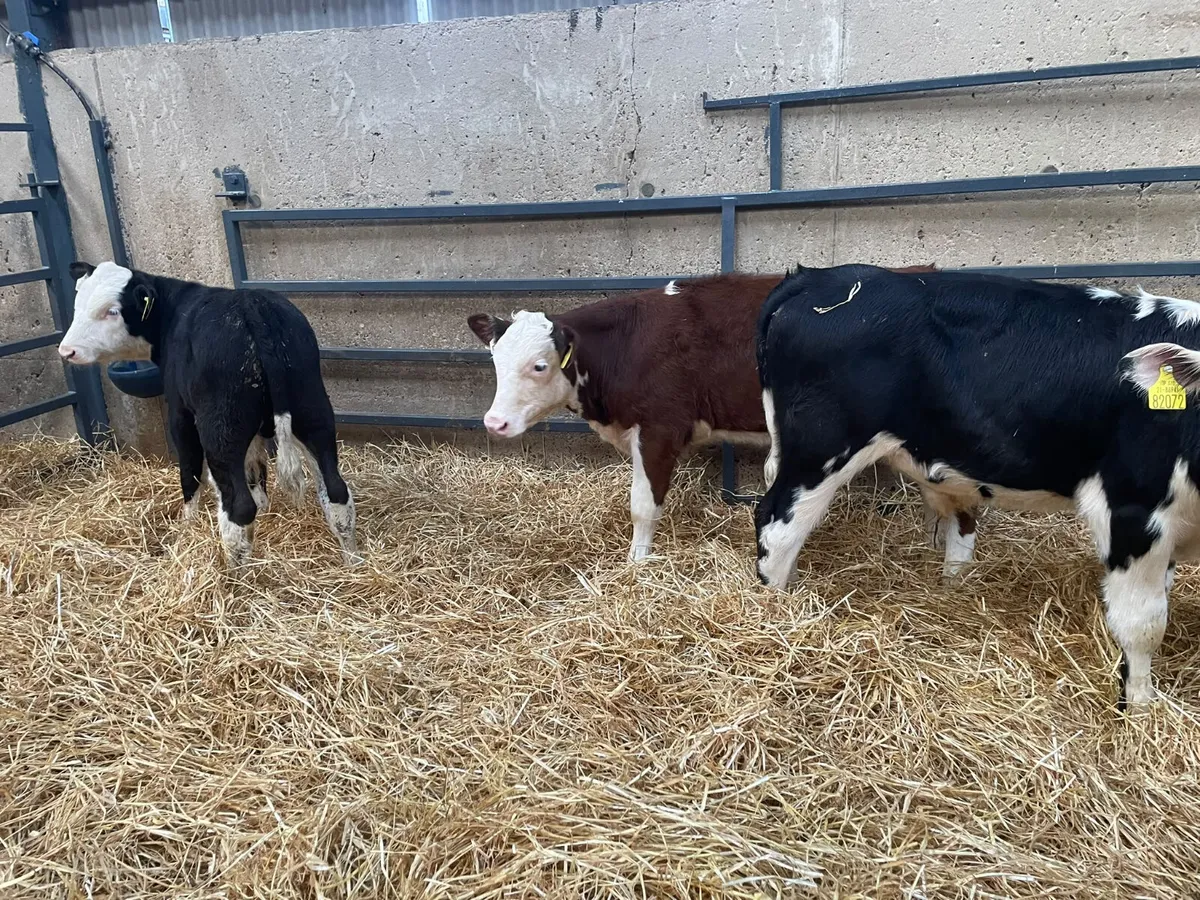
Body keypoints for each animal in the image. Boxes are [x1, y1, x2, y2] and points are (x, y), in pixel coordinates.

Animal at [57, 261, 359, 569]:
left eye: (113, 311)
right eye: (78, 302)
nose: (67, 350)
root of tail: (253, 307)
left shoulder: (181, 415)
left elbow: (190, 473)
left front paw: (187, 527)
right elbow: (255, 469)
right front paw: (265, 509)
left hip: (221, 430)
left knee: (238, 508)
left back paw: (234, 575)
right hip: (313, 414)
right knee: (336, 491)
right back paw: (352, 561)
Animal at [466, 267, 960, 565]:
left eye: (540, 365)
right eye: (494, 360)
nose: (494, 423)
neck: (625, 345)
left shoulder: (660, 428)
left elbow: (643, 506)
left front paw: (635, 564)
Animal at [754, 263, 1200, 709]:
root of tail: (819, 278)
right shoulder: (1134, 508)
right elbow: (1142, 624)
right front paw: (1138, 709)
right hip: (822, 447)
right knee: (777, 527)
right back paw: (775, 611)